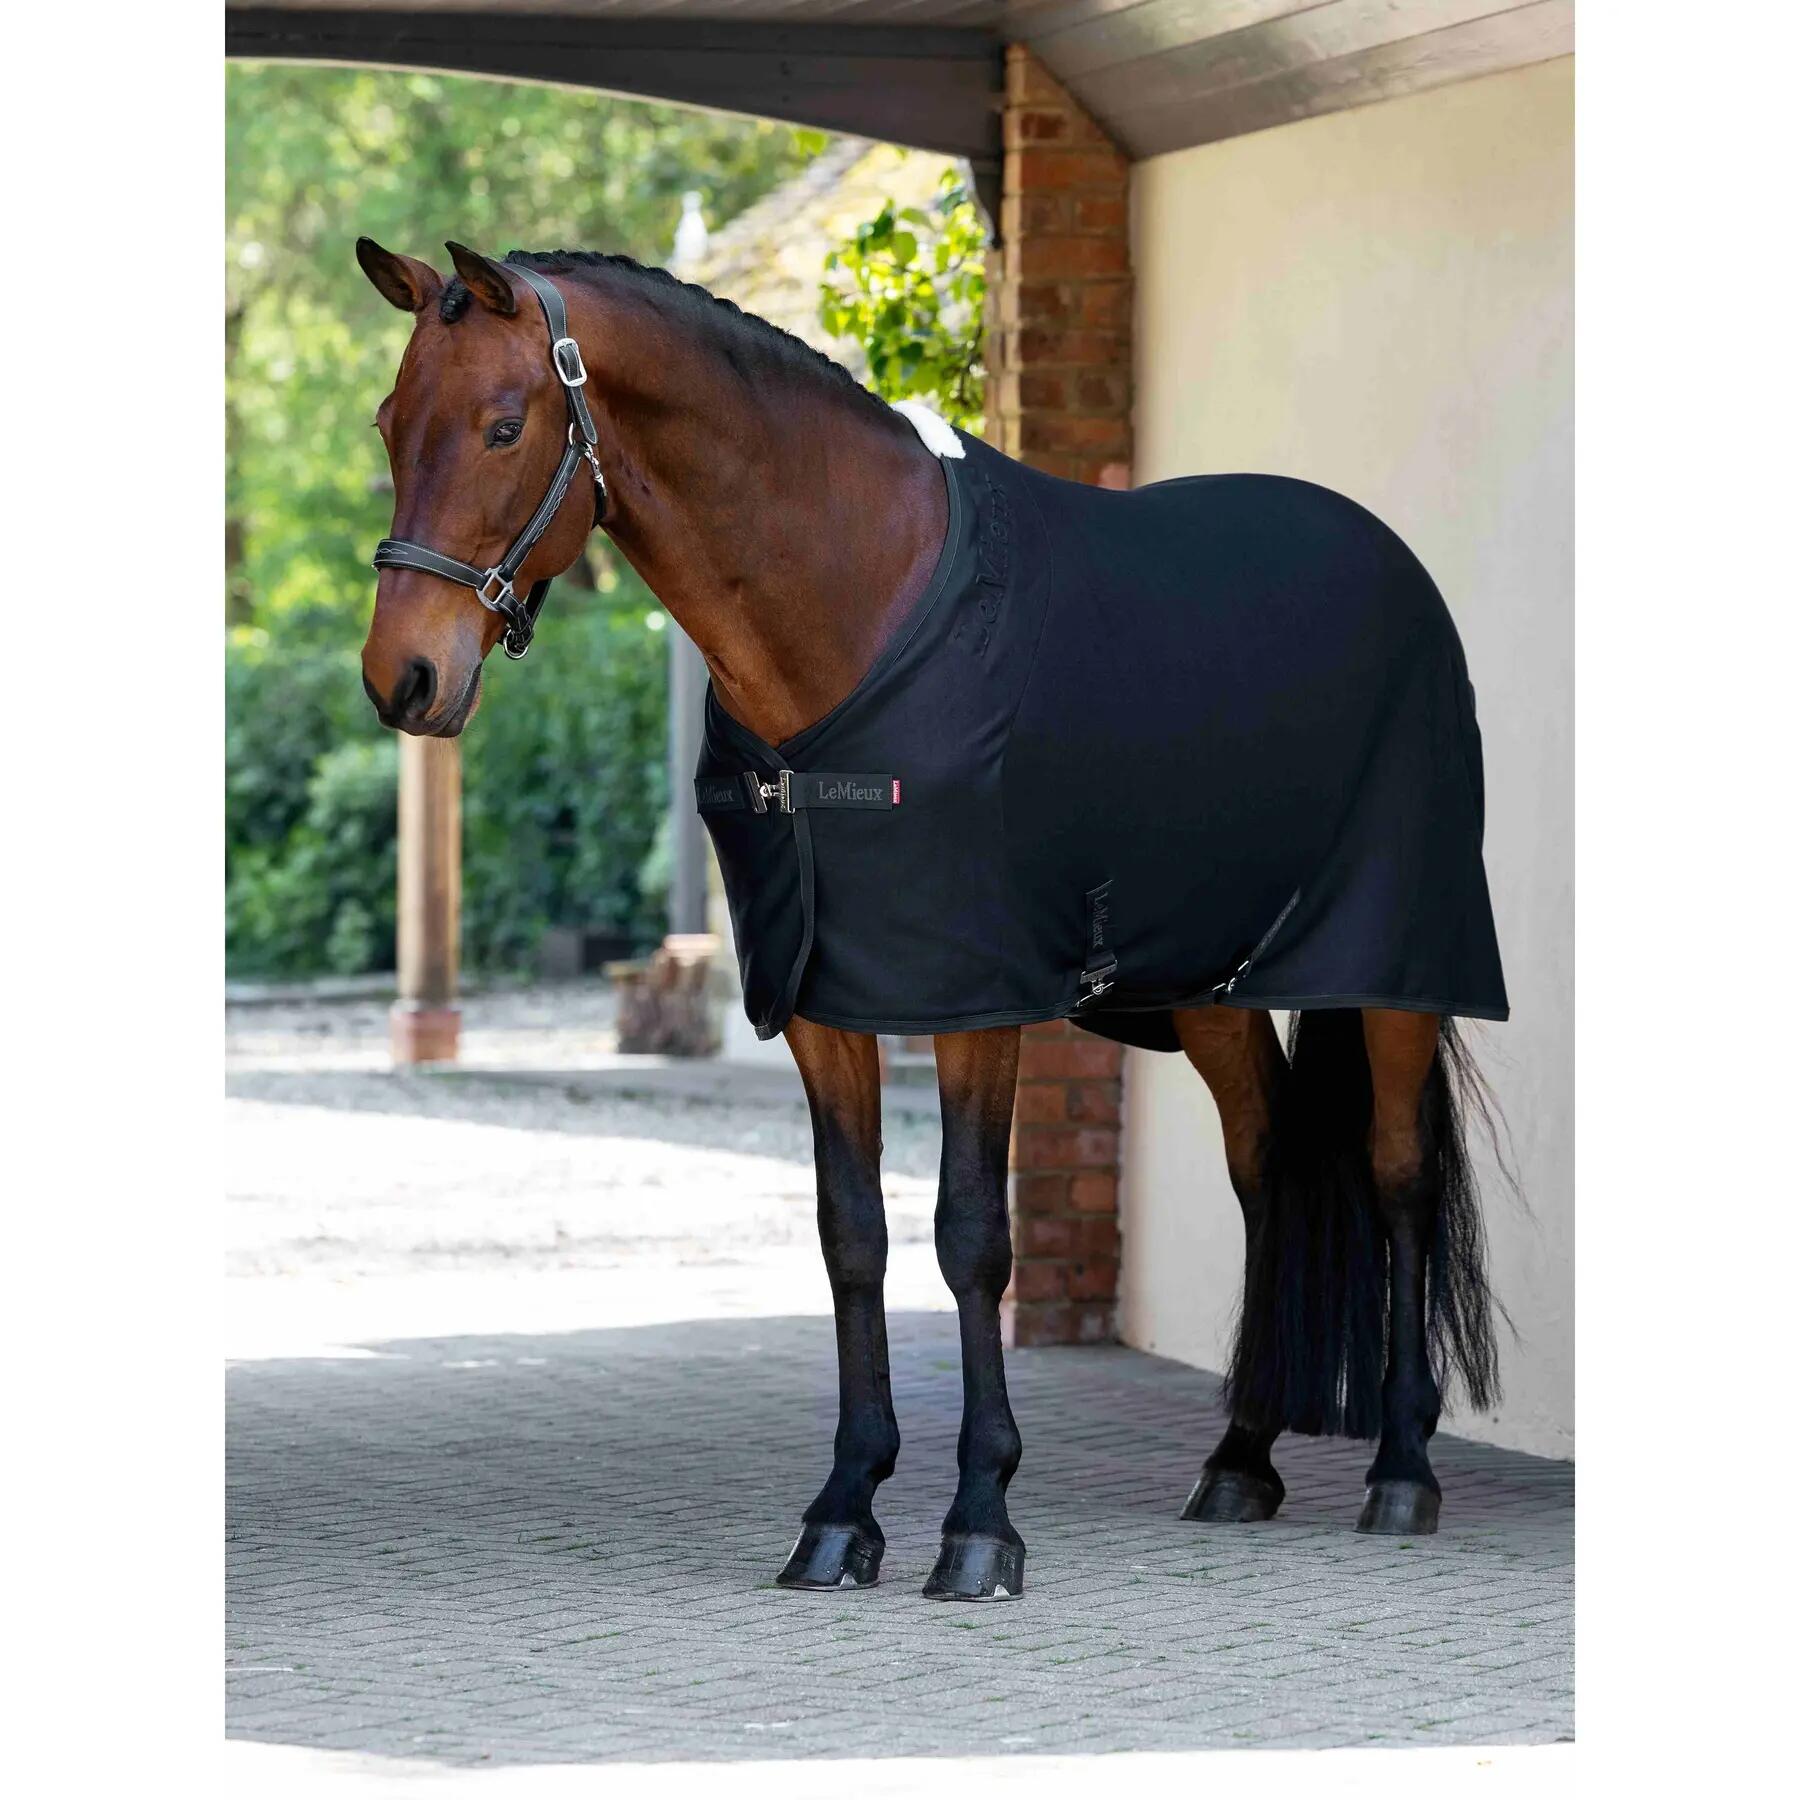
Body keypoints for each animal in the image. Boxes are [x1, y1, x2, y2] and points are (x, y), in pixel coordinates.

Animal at [354, 237, 1509, 1602]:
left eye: (502, 425)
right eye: (388, 423)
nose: (403, 679)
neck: (850, 616)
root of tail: (1394, 565)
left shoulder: (973, 1000)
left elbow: (971, 1236)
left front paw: (979, 1521)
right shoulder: (822, 1001)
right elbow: (851, 1236)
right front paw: (843, 1511)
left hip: (1394, 969)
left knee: (1395, 1173)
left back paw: (1402, 1469)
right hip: (1205, 986)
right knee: (1266, 1161)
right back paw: (1239, 1458)